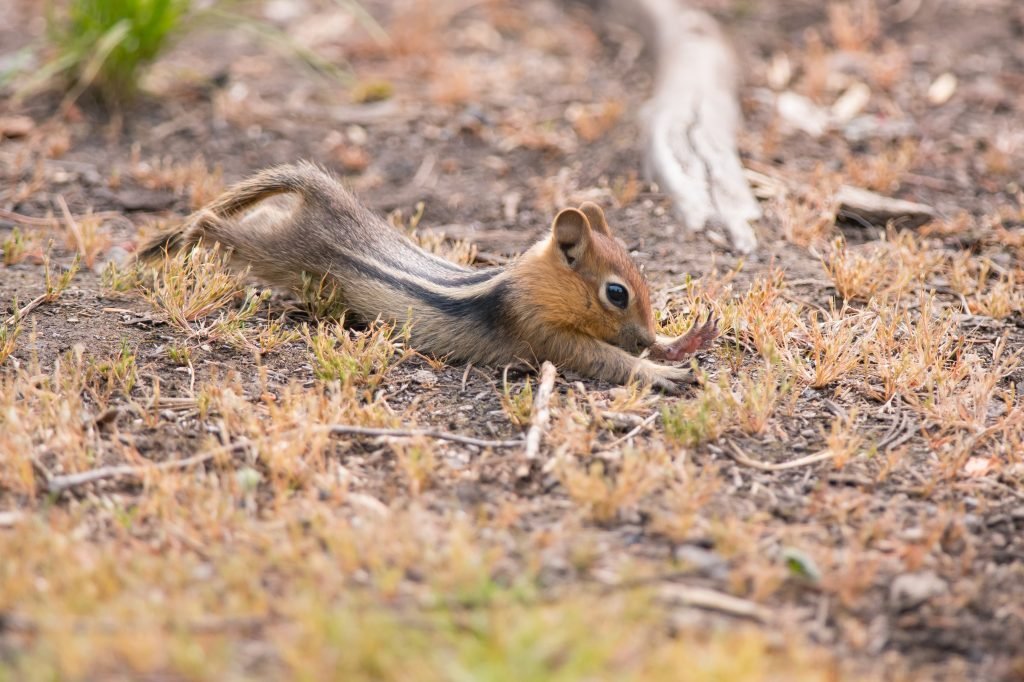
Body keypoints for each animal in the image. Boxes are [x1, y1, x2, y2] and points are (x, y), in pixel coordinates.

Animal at [140, 161, 716, 391]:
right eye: (616, 293)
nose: (644, 335)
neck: (529, 281)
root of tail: (325, 194)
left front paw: (679, 343)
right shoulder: (542, 333)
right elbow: (606, 359)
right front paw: (661, 372)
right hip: (278, 255)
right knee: (217, 226)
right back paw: (180, 238)